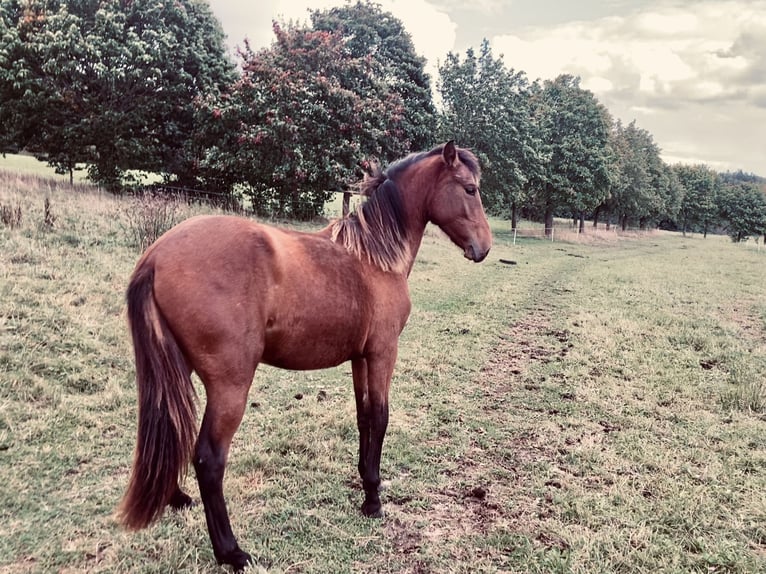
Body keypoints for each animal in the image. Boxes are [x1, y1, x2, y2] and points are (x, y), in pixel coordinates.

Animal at [118, 142, 496, 572]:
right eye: (469, 189)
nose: (484, 247)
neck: (374, 258)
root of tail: (155, 256)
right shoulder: (383, 353)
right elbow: (381, 417)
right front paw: (373, 500)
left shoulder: (360, 358)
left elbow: (364, 417)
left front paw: (365, 483)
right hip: (230, 385)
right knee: (209, 460)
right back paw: (231, 551)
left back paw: (177, 498)